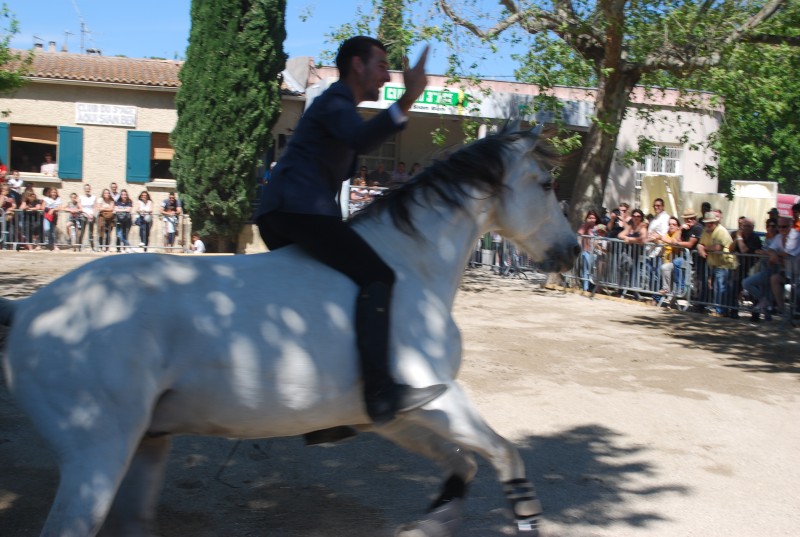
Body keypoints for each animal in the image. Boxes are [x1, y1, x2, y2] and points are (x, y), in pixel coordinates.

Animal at [0, 126, 576, 536]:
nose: (570, 250)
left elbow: (463, 466)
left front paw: (434, 522)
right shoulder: (441, 398)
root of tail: (29, 310)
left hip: (145, 445)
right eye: (547, 185)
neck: (411, 267)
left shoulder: (394, 416)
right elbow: (506, 456)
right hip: (96, 457)